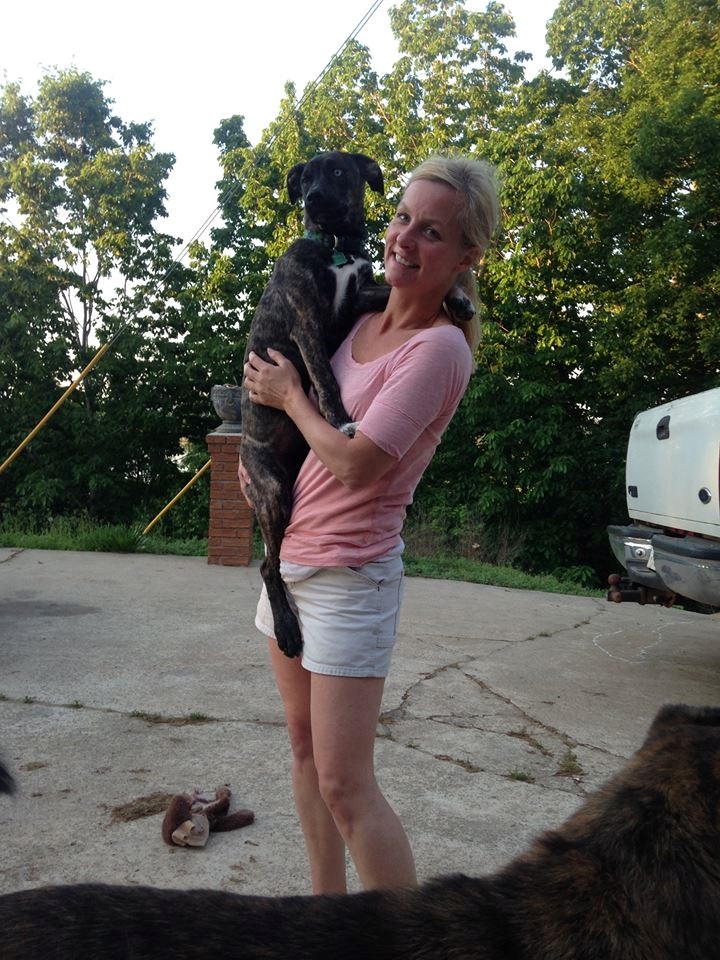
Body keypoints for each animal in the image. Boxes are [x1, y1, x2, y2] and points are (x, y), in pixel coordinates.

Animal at [240, 151, 389, 659]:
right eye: (304, 178)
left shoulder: (361, 295)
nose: (312, 198)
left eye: (339, 171)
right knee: (269, 566)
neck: (336, 246)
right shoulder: (305, 319)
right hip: (273, 492)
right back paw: (287, 630)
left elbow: (391, 288)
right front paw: (340, 421)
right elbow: (324, 377)